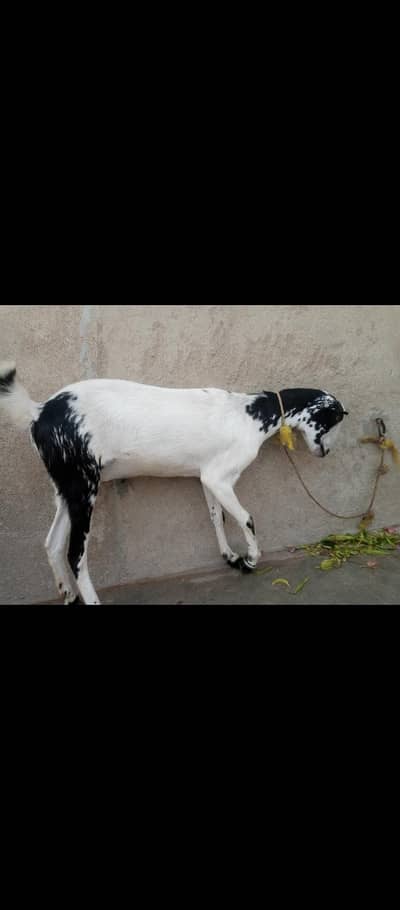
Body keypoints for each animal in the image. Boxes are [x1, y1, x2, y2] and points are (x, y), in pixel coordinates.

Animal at [0, 361, 348, 606]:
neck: (251, 414)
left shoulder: (207, 477)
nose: (327, 452)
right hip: (84, 488)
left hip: (67, 489)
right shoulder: (221, 477)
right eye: (332, 421)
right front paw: (250, 560)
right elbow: (246, 518)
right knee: (76, 554)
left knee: (53, 544)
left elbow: (216, 517)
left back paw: (69, 595)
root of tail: (38, 412)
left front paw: (230, 557)